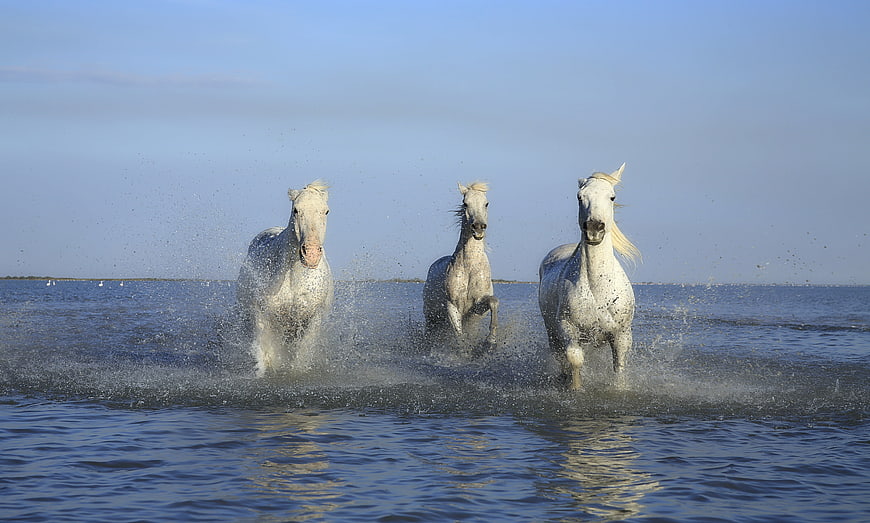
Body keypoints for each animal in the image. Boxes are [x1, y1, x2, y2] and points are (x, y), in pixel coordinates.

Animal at [237, 181, 333, 376]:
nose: (311, 254)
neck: (294, 278)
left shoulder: (313, 318)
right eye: (296, 209)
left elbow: (301, 354)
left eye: (326, 211)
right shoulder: (263, 315)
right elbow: (267, 354)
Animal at [423, 182, 499, 350]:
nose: (478, 227)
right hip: (431, 318)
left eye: (486, 203)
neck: (470, 267)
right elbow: (459, 337)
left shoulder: (476, 307)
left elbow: (493, 302)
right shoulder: (452, 306)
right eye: (465, 203)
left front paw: (490, 341)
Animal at [538, 163, 640, 390]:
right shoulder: (568, 328)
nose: (594, 228)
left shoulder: (621, 335)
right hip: (552, 332)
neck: (597, 287)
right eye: (579, 197)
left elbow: (619, 367)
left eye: (612, 196)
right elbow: (574, 359)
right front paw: (575, 388)